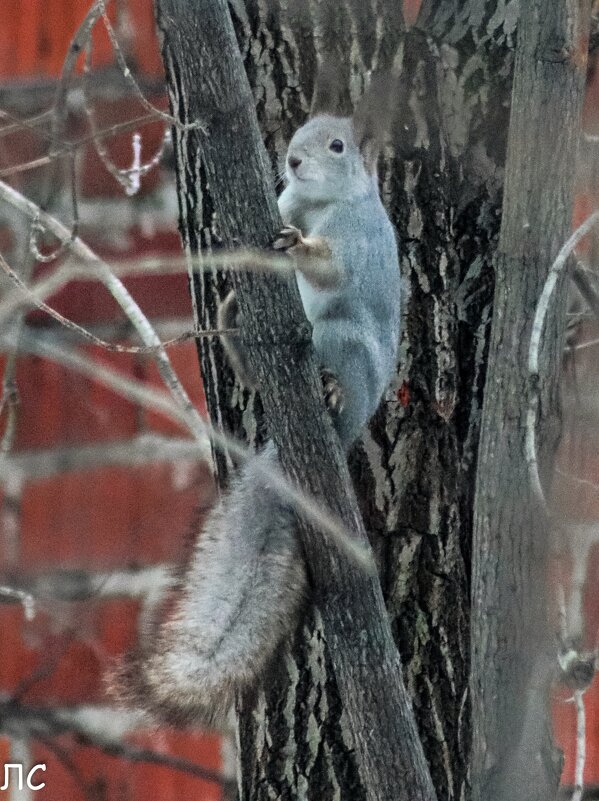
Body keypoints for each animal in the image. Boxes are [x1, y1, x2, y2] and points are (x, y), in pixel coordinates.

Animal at [112, 73, 404, 724]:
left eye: (338, 146)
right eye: (297, 136)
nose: (291, 161)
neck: (320, 204)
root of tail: (350, 423)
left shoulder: (358, 241)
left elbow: (330, 267)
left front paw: (296, 244)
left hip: (344, 341)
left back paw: (329, 385)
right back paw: (235, 326)